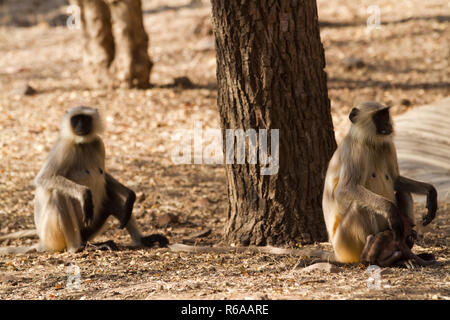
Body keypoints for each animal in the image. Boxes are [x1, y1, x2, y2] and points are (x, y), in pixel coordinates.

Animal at [0, 106, 169, 254]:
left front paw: (130, 195)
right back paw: (76, 248)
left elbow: (105, 176)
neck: (82, 143)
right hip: (52, 237)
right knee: (59, 194)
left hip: (89, 230)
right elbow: (44, 178)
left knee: (109, 193)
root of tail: (42, 242)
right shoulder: (65, 146)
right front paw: (84, 194)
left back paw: (141, 240)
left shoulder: (98, 143)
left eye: (85, 119)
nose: (80, 126)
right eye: (76, 120)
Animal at [322, 102, 438, 264]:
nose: (387, 123)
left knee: (403, 191)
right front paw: (390, 209)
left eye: (386, 114)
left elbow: (395, 180)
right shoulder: (355, 150)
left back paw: (406, 247)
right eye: (378, 117)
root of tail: (337, 254)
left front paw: (431, 192)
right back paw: (375, 256)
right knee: (359, 206)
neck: (370, 143)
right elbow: (345, 189)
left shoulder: (388, 145)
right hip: (346, 244)